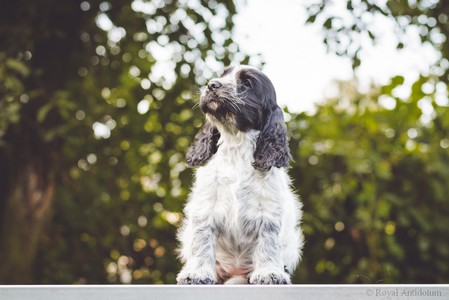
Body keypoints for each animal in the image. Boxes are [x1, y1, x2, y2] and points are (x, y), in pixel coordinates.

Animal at [177, 65, 302, 284]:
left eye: (246, 83)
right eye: (223, 75)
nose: (212, 84)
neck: (235, 144)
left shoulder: (268, 211)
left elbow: (268, 242)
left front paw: (269, 273)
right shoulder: (206, 207)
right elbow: (202, 241)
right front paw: (196, 273)